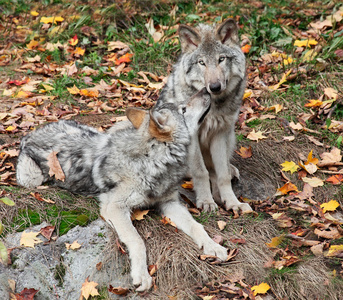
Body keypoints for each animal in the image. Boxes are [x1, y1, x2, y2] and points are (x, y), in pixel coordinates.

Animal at [17, 88, 230, 290]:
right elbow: (137, 240)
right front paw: (142, 275)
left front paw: (213, 246)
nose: (206, 90)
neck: (153, 162)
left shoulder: (170, 203)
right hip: (31, 179)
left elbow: (197, 226)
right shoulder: (114, 208)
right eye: (183, 109)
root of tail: (30, 133)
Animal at [158, 18, 253, 213]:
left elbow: (222, 174)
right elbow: (201, 172)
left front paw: (232, 202)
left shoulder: (220, 134)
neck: (213, 107)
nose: (215, 87)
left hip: (230, 135)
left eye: (221, 59)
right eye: (202, 62)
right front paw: (206, 202)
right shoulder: (192, 135)